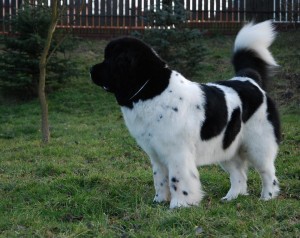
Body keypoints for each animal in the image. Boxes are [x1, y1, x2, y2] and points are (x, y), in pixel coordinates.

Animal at [91, 20, 282, 208]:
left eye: (110, 60)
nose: (91, 70)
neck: (152, 90)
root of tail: (249, 80)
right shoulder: (156, 154)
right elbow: (159, 179)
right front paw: (159, 201)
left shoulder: (177, 153)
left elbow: (177, 180)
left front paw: (178, 205)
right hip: (227, 146)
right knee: (239, 175)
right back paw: (231, 197)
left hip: (257, 144)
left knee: (268, 172)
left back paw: (267, 197)